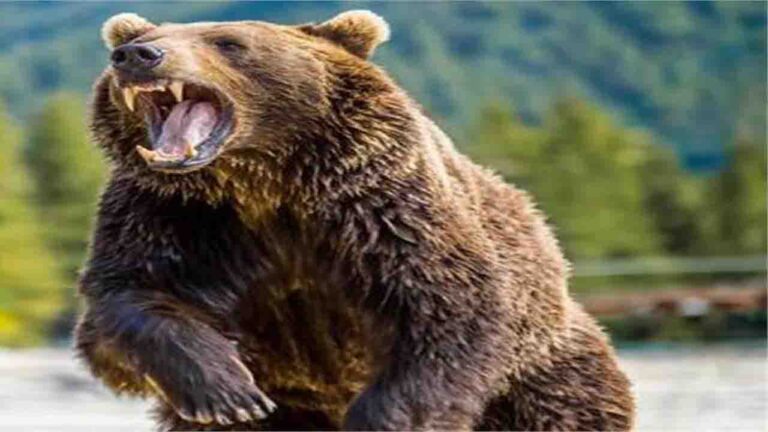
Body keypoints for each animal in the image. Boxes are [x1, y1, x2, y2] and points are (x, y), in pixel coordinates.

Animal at [75, 10, 635, 431]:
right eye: (142, 38)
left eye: (228, 42)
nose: (137, 56)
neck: (264, 181)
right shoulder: (177, 218)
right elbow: (127, 302)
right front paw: (226, 390)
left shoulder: (383, 211)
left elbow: (449, 309)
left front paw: (381, 419)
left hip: (544, 373)